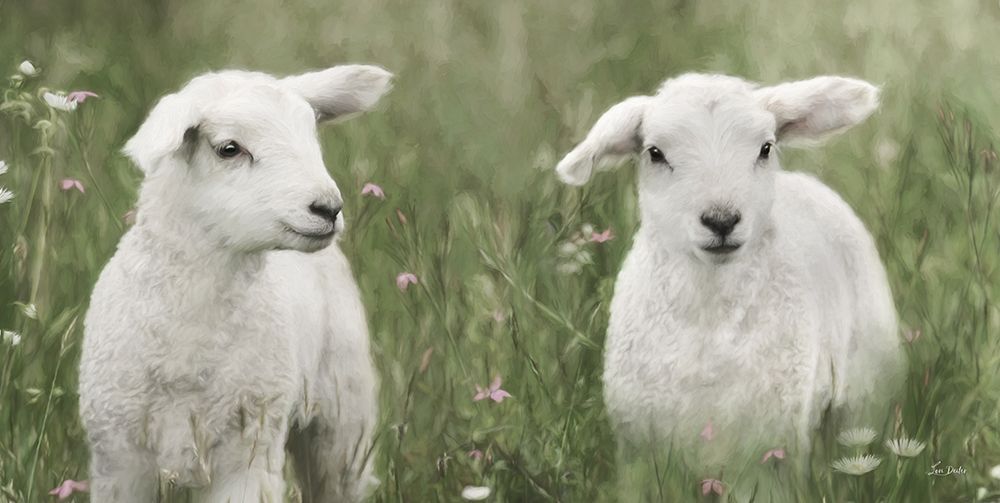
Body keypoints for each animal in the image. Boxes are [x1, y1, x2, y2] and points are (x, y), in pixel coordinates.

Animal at [78, 65, 392, 502]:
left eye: (312, 136)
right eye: (229, 149)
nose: (328, 208)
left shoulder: (248, 453)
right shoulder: (119, 458)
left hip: (342, 419)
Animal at [555, 74, 904, 474]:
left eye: (765, 148)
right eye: (655, 153)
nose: (721, 220)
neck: (708, 321)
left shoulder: (774, 446)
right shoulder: (639, 445)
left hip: (866, 391)